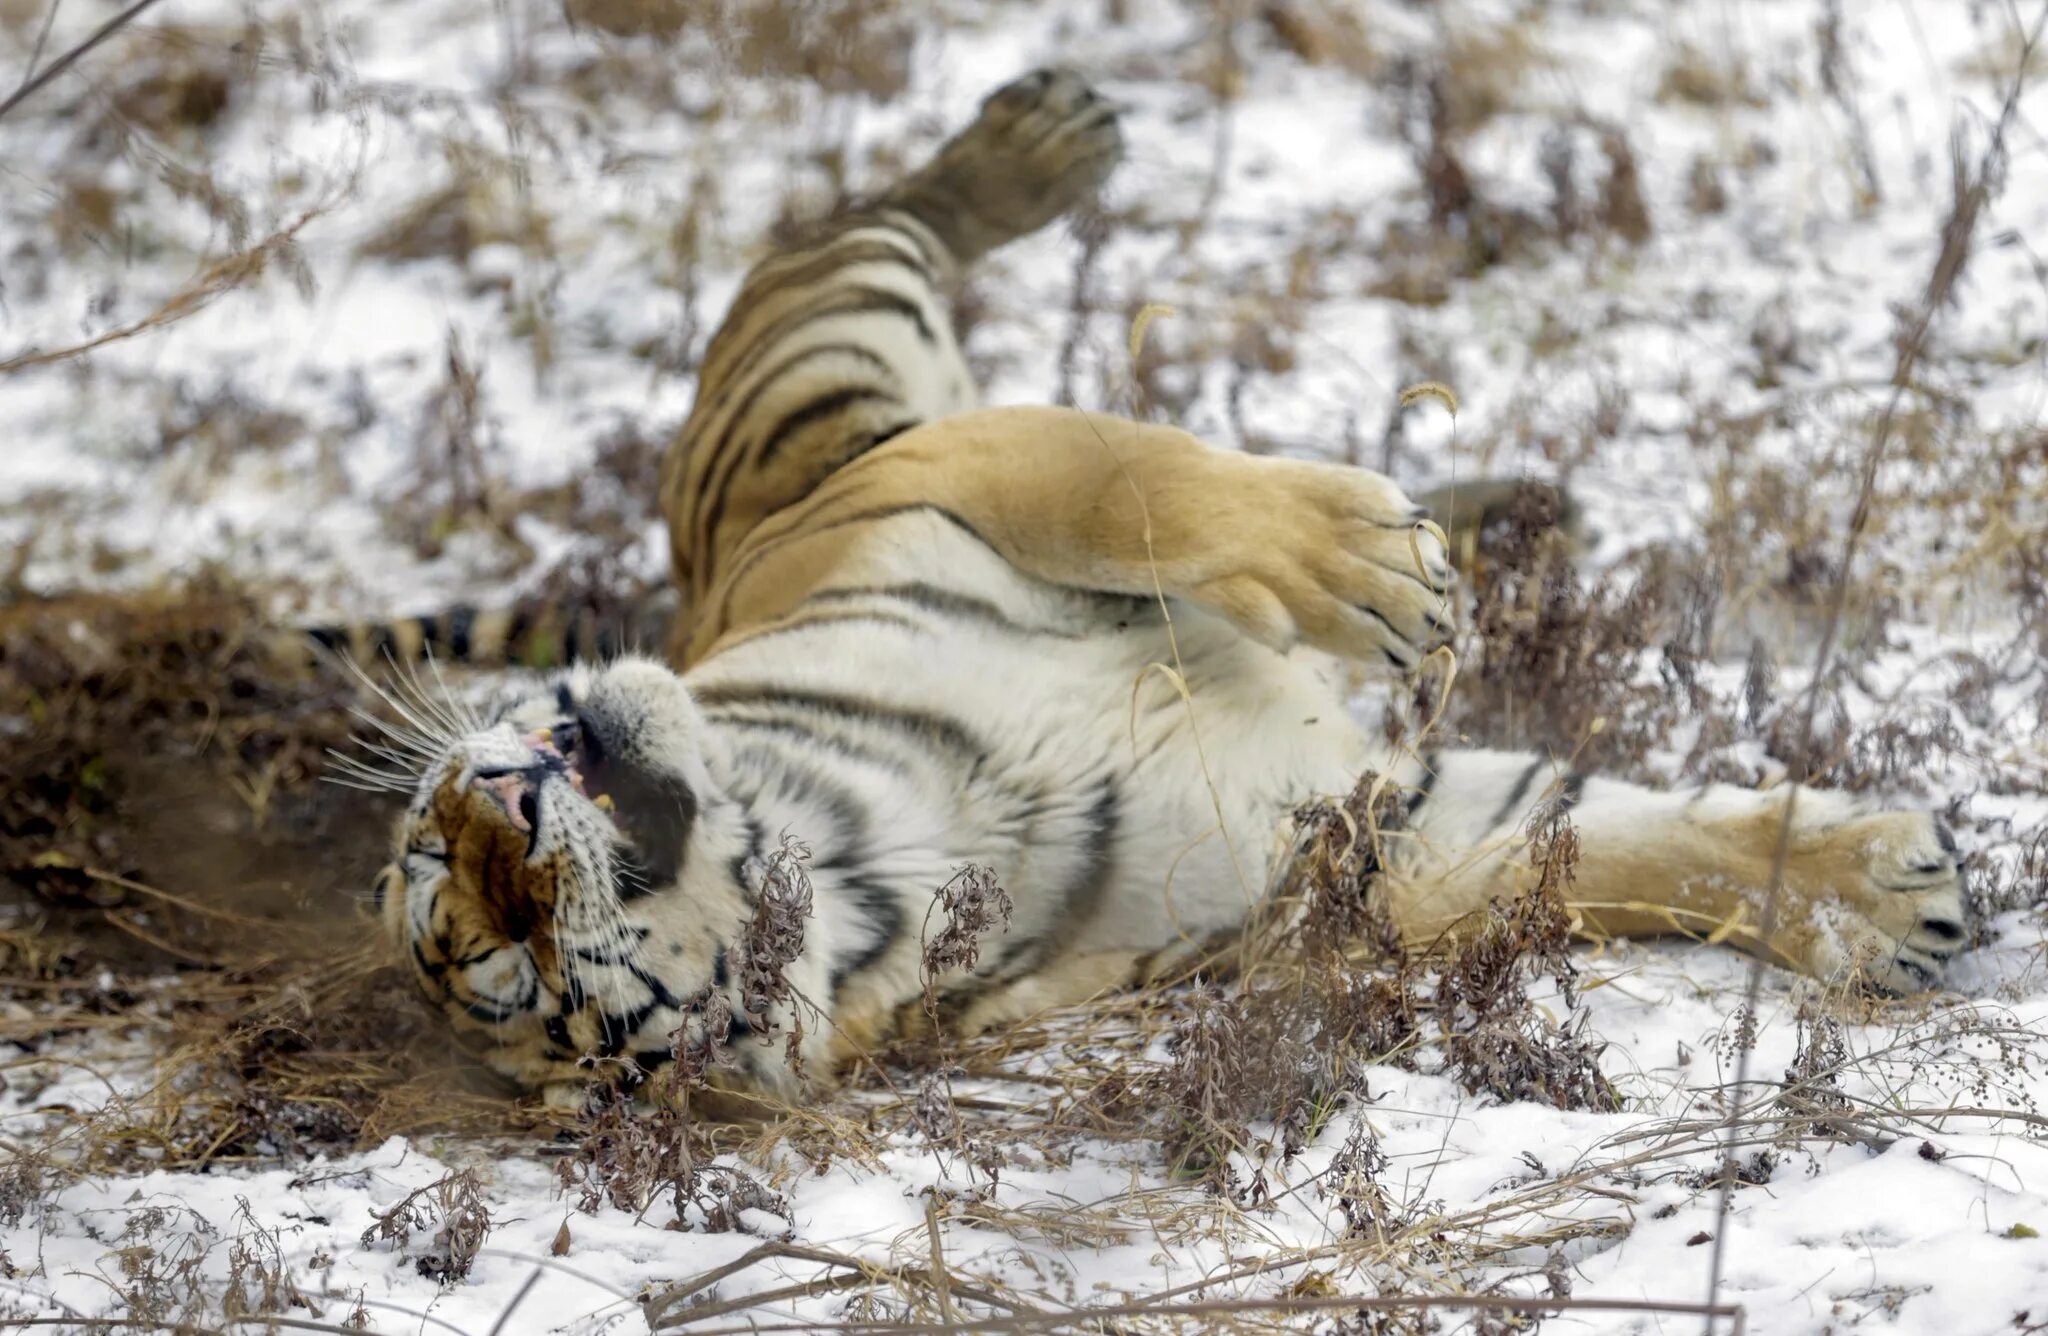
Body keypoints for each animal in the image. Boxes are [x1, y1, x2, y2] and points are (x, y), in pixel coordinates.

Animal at [368, 67, 1966, 1106]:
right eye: (504, 958)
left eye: (438, 857)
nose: (490, 793)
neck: (870, 840)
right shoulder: (1343, 848)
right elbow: (1594, 852)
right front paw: (1888, 900)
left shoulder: (916, 488)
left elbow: (1130, 478)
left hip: (823, 376)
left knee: (860, 226)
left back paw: (1051, 138)